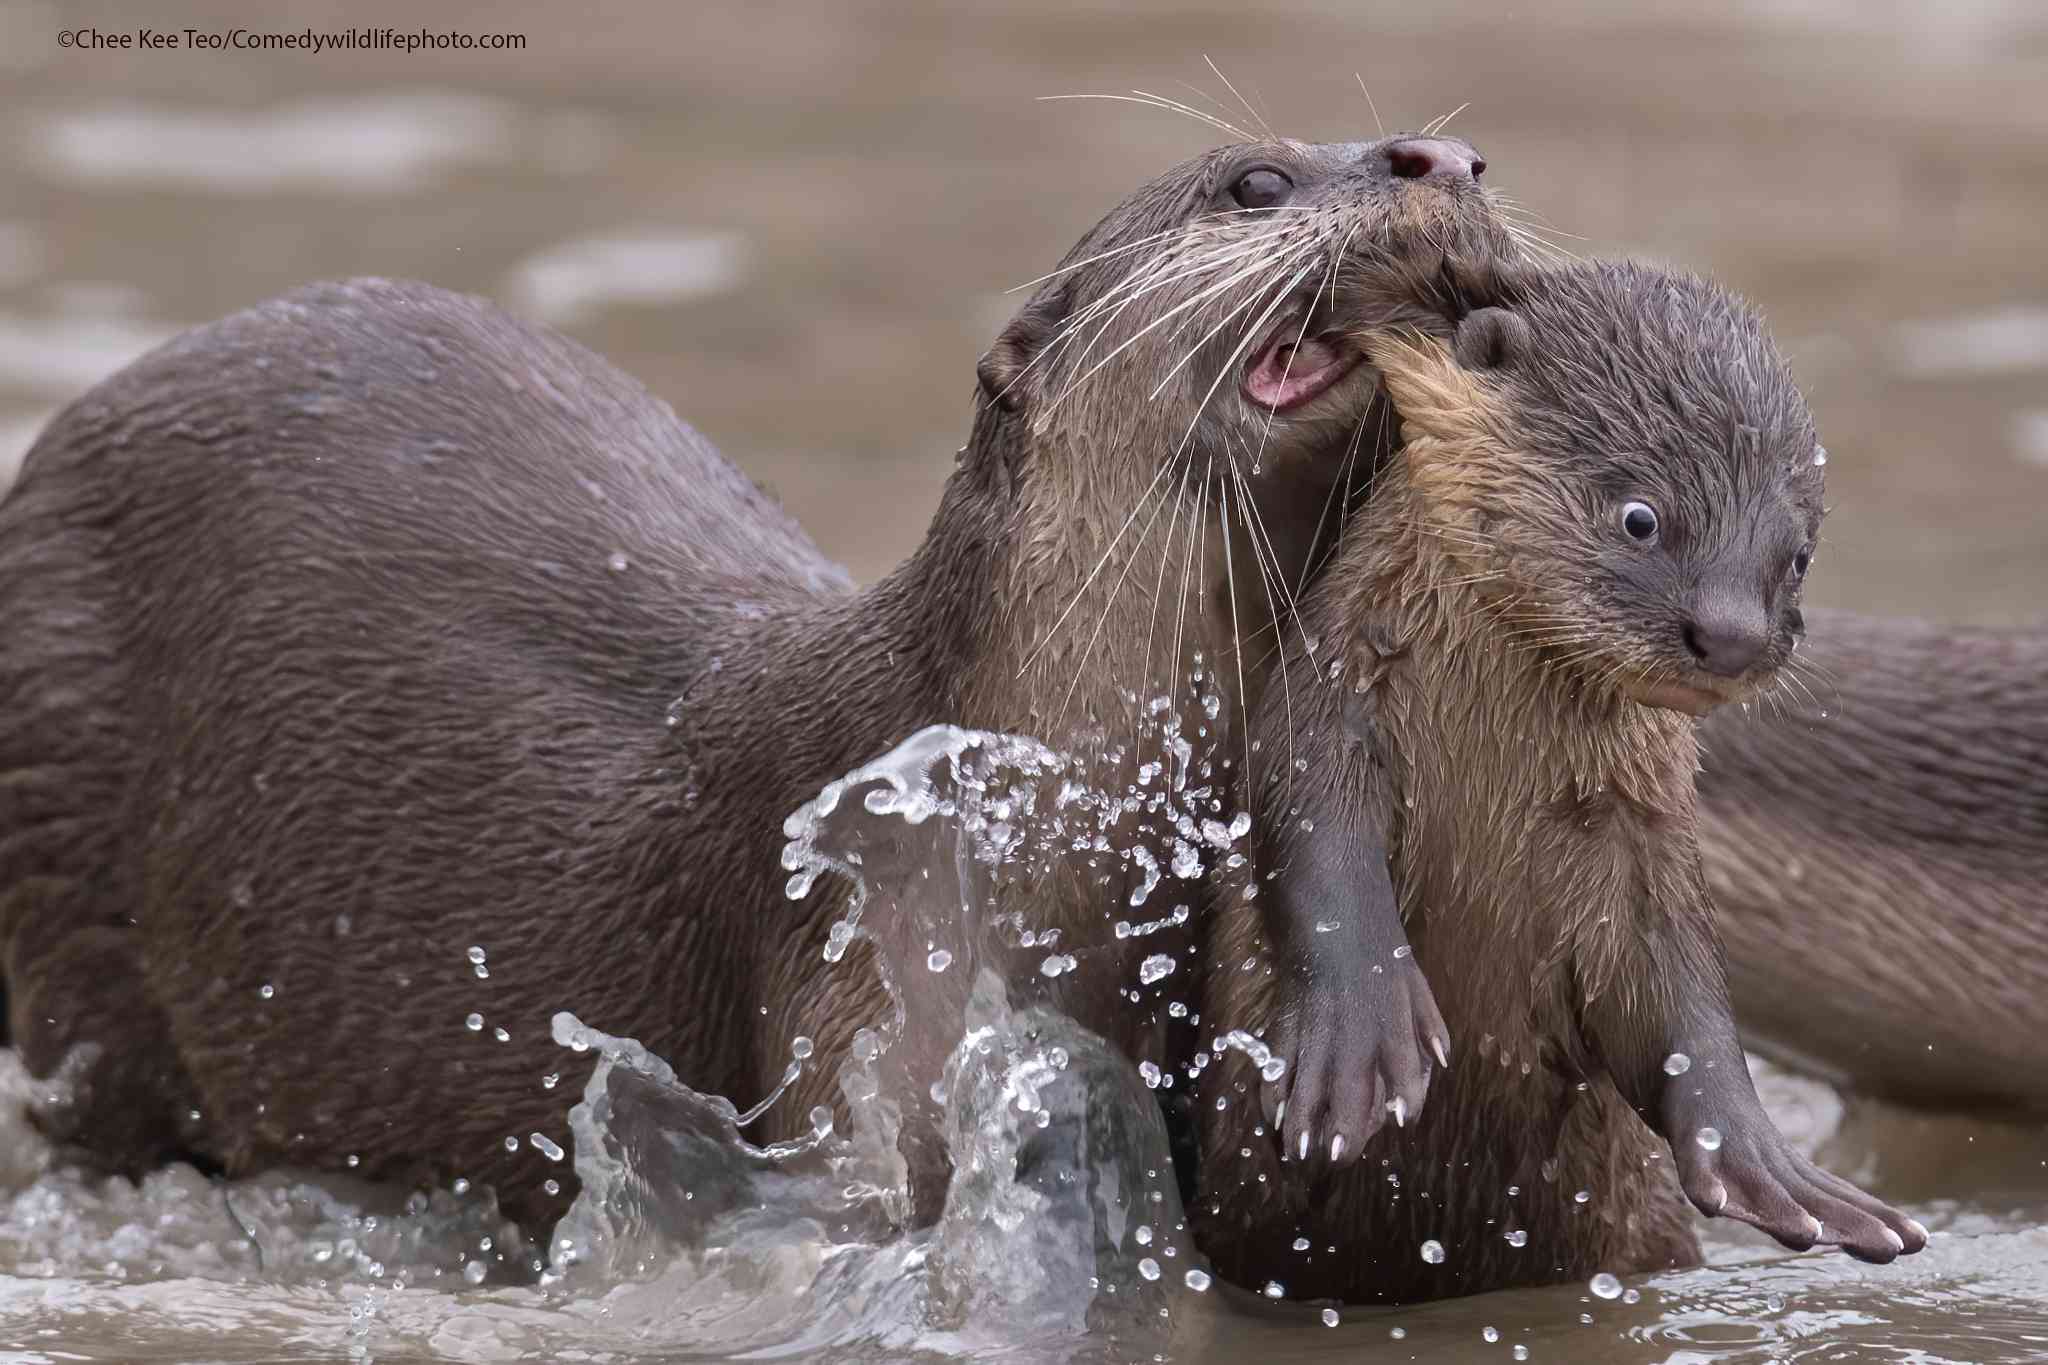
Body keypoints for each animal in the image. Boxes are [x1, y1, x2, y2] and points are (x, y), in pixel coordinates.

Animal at [1196, 258, 1925, 1301]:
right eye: (1641, 516)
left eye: (1797, 555)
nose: (1733, 634)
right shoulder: (1330, 703)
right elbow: (1315, 845)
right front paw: (1359, 1041)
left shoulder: (1642, 829)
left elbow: (1680, 991)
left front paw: (1767, 1162)